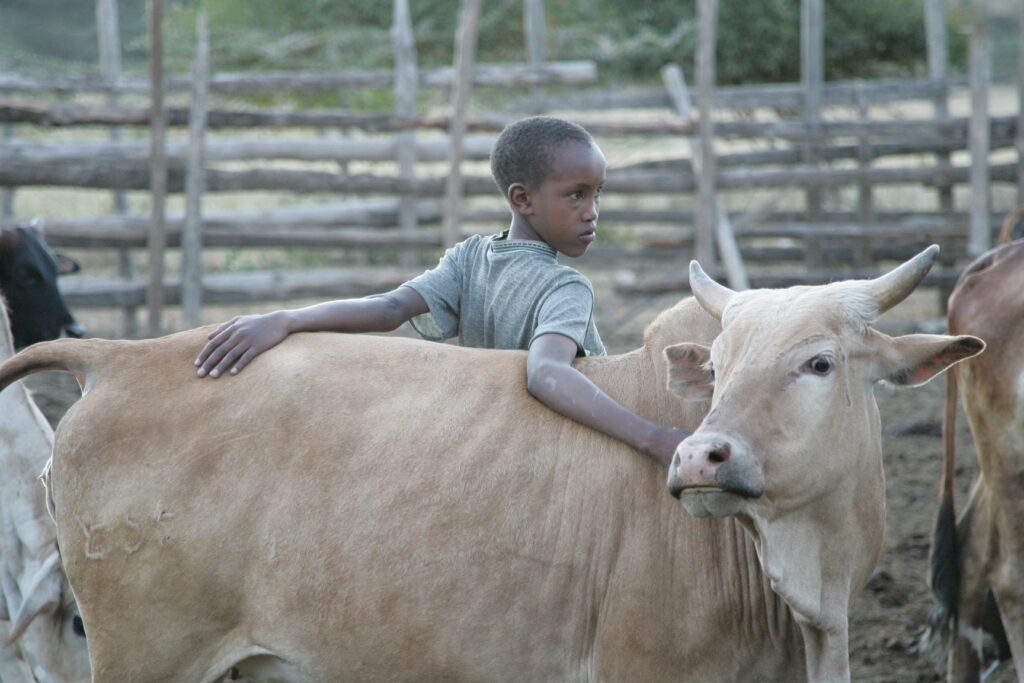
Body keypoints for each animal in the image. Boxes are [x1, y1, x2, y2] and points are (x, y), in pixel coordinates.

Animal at [0, 246, 982, 682]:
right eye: (720, 361)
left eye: (819, 361)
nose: (702, 454)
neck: (802, 595)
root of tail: (120, 355)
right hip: (147, 657)